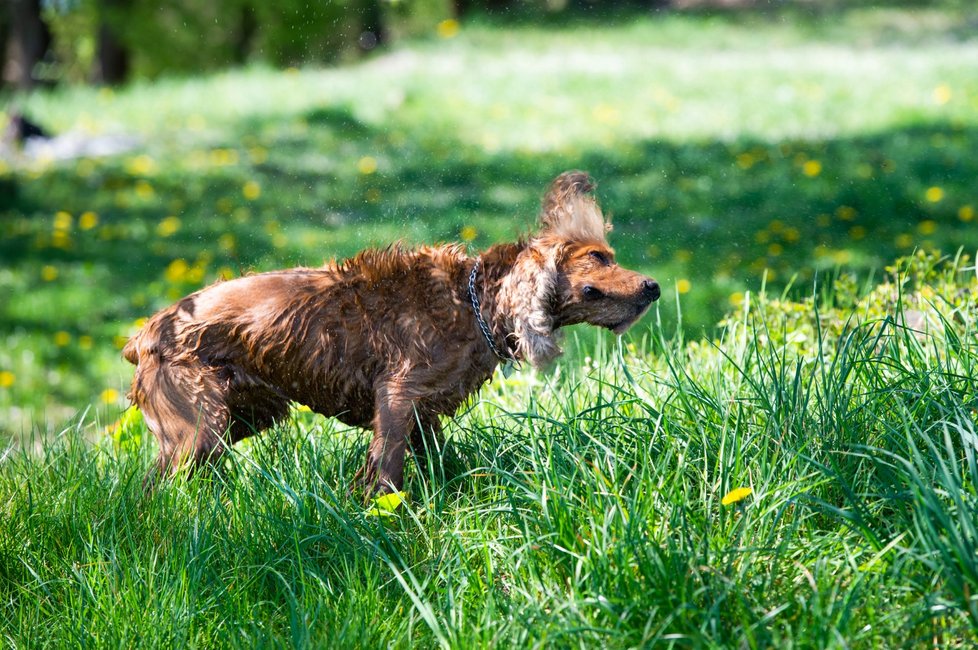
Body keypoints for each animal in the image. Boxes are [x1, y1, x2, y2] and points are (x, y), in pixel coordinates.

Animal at [122, 170, 656, 494]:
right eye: (599, 257)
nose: (652, 286)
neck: (473, 305)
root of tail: (144, 334)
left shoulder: (427, 411)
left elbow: (441, 461)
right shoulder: (396, 396)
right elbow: (389, 469)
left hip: (248, 413)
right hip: (200, 425)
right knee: (156, 490)